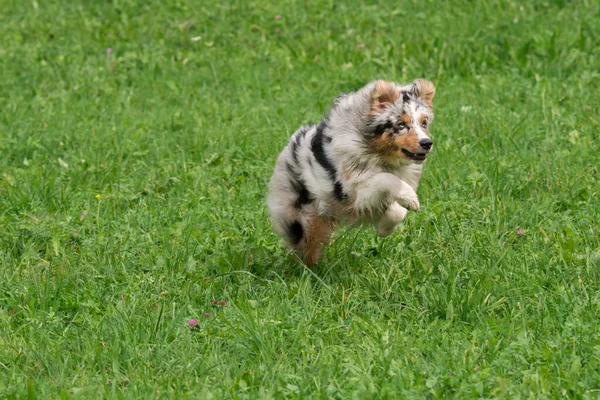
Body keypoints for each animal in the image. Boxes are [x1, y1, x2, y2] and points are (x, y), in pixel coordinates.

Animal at [268, 79, 436, 266]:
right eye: (401, 124)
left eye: (424, 123)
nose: (427, 143)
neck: (381, 156)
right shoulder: (353, 192)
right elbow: (385, 178)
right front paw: (410, 199)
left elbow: (398, 209)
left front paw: (384, 228)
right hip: (301, 217)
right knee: (303, 245)